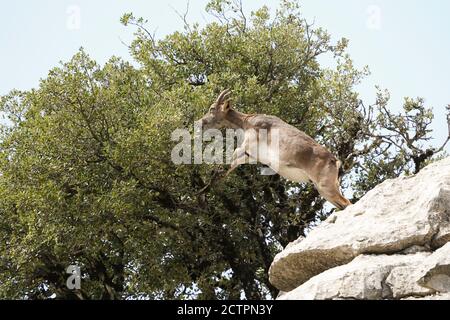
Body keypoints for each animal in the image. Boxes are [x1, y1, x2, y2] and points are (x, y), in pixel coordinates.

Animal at [197, 90, 352, 210]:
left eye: (212, 108)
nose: (200, 123)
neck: (247, 122)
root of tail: (335, 161)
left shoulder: (247, 146)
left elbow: (231, 158)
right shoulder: (250, 155)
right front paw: (205, 190)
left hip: (326, 186)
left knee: (347, 203)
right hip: (324, 190)